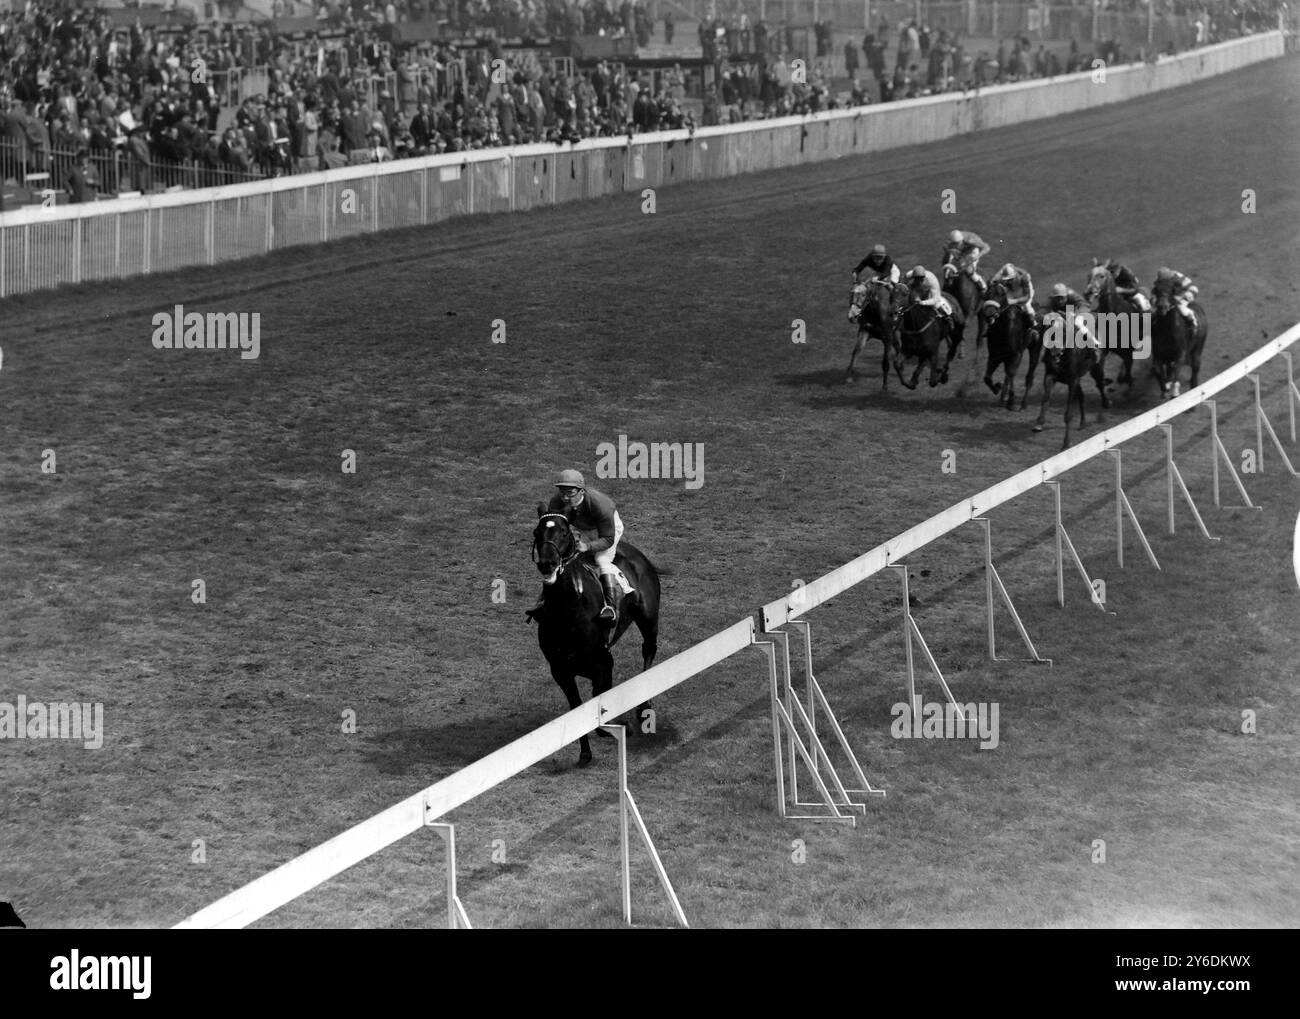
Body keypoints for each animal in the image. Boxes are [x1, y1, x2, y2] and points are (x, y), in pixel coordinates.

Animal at [527, 509, 660, 764]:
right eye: (537, 532)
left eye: (564, 532)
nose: (547, 563)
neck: (568, 615)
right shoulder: (561, 671)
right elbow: (577, 708)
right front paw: (585, 752)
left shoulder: (603, 664)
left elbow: (599, 702)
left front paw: (620, 727)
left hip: (648, 617)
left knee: (649, 649)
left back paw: (643, 706)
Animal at [977, 278, 1040, 410]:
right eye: (987, 294)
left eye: (1001, 295)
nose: (989, 313)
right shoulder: (995, 356)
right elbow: (987, 377)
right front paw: (997, 387)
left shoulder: (1016, 354)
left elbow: (1011, 373)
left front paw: (1011, 400)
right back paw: (1002, 398)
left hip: (1035, 348)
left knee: (1029, 375)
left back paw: (1023, 403)